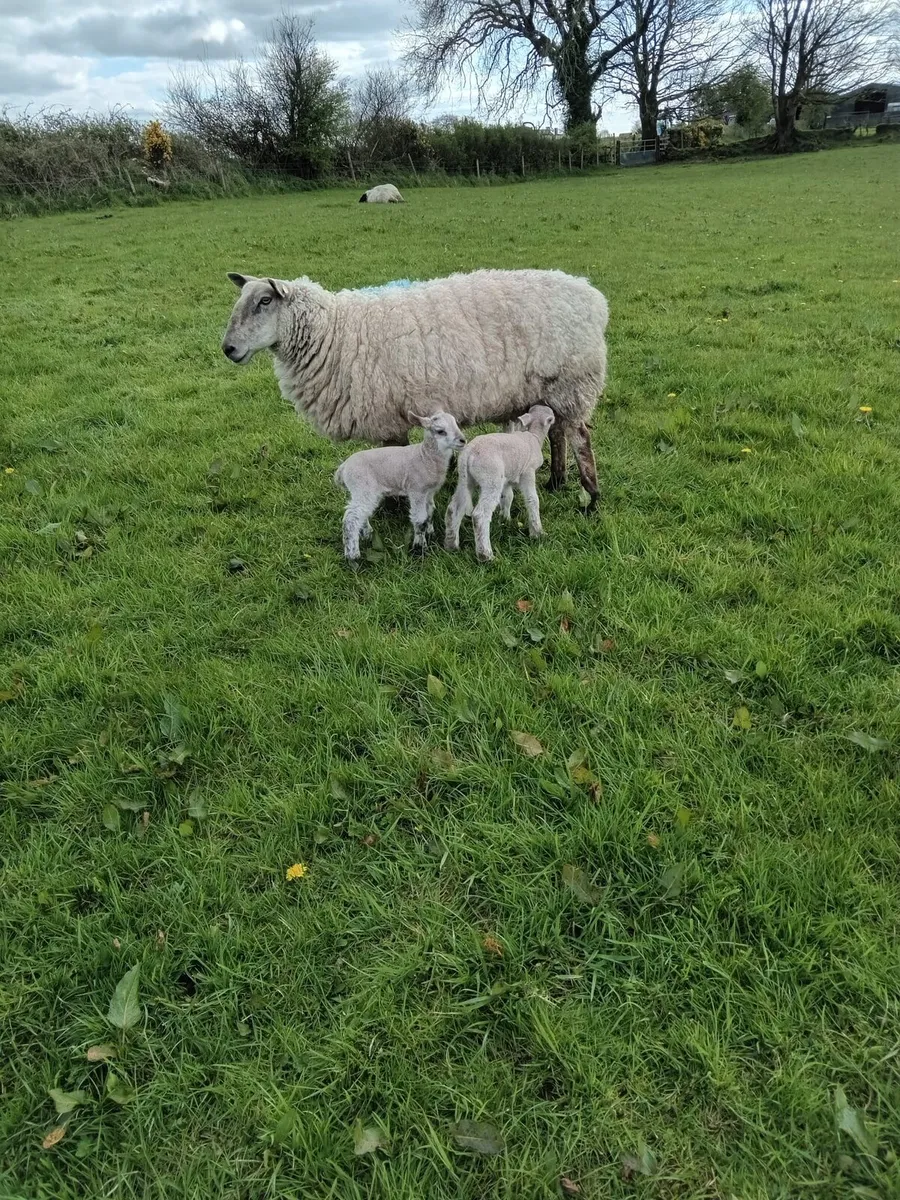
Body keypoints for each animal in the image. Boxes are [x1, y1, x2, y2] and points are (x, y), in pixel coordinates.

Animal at [221, 268, 609, 509]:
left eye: (265, 301)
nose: (228, 349)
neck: (335, 331)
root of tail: (592, 297)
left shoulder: (387, 415)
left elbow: (390, 458)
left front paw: (393, 507)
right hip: (550, 390)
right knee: (557, 433)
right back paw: (556, 481)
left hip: (573, 382)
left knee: (580, 437)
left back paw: (591, 496)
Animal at [334, 411, 466, 561]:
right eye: (440, 431)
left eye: (456, 424)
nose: (463, 440)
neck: (425, 457)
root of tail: (343, 469)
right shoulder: (417, 489)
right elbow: (420, 519)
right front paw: (420, 548)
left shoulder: (429, 491)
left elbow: (430, 511)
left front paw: (430, 532)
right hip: (362, 486)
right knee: (351, 519)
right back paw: (353, 556)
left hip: (364, 491)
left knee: (361, 513)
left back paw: (367, 534)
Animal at [445, 405, 555, 562]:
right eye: (551, 418)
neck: (534, 436)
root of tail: (469, 453)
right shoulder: (528, 472)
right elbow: (532, 500)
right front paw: (537, 532)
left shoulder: (507, 479)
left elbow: (508, 497)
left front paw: (505, 518)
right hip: (491, 478)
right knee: (480, 515)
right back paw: (486, 555)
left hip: (465, 479)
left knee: (454, 508)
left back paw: (452, 545)